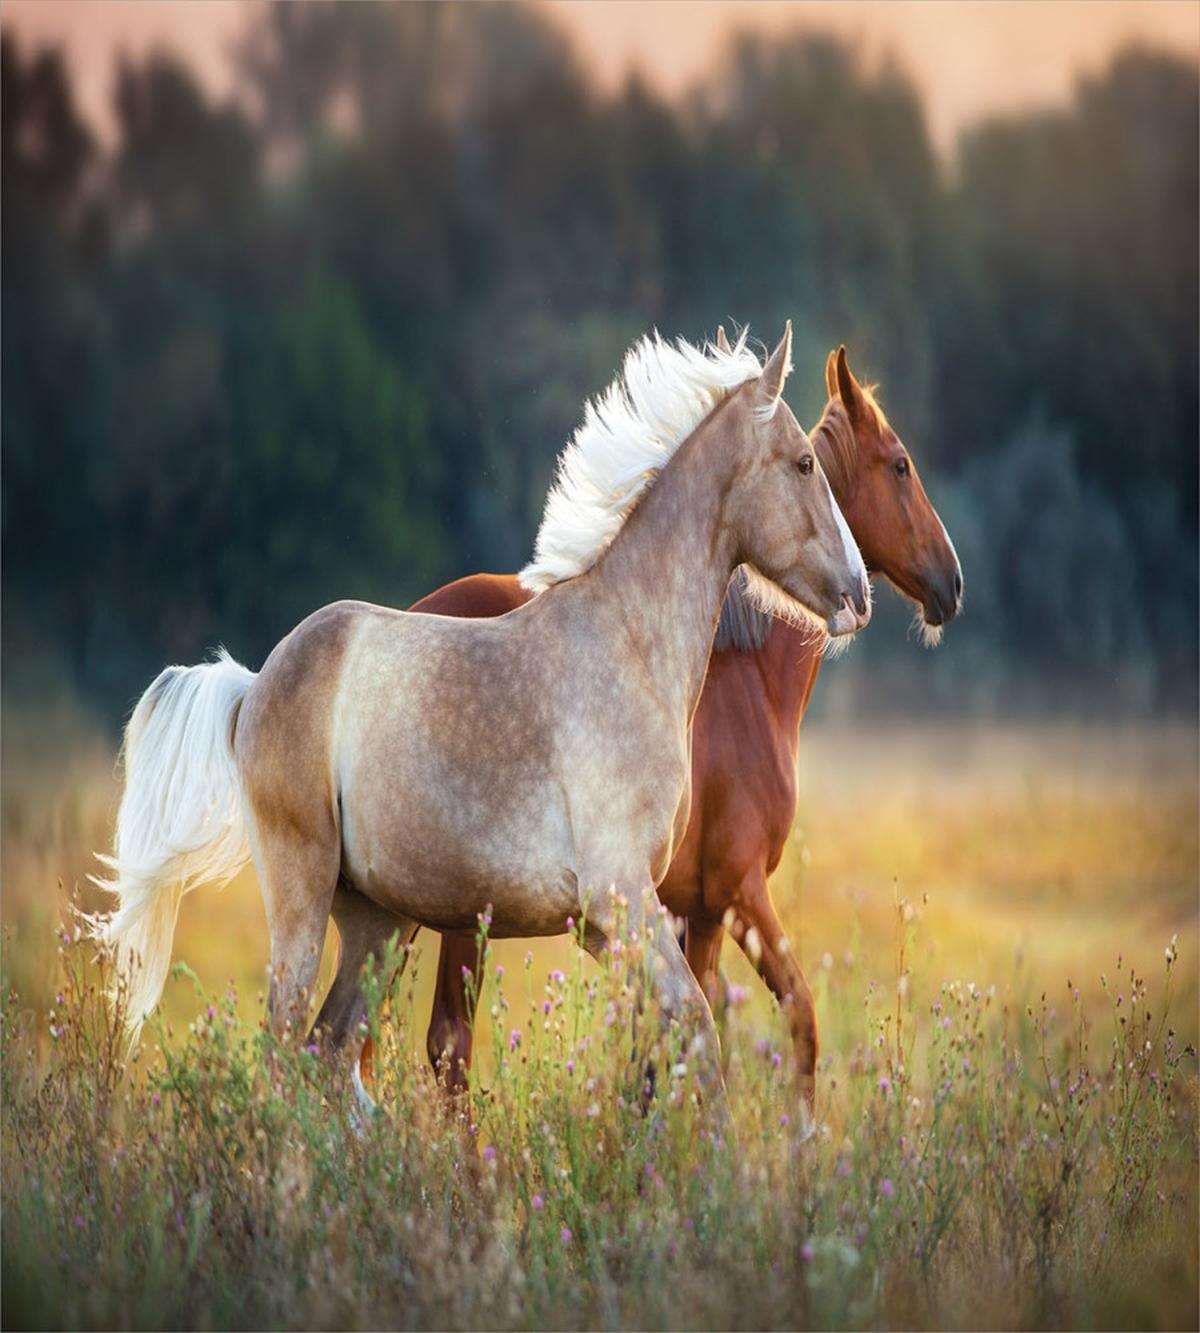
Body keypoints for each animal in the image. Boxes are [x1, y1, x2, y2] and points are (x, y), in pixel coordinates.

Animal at [92, 323, 870, 1127]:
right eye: (804, 462)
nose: (859, 592)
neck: (629, 645)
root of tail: (254, 685)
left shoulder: (608, 922)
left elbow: (661, 1049)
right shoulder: (619, 895)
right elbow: (697, 1032)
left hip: (374, 921)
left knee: (328, 1053)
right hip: (302, 895)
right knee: (284, 1053)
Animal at [416, 338, 961, 1124]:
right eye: (901, 465)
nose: (952, 582)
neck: (744, 671)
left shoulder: (691, 916)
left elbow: (669, 1049)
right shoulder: (739, 892)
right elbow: (797, 1019)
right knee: (445, 1045)